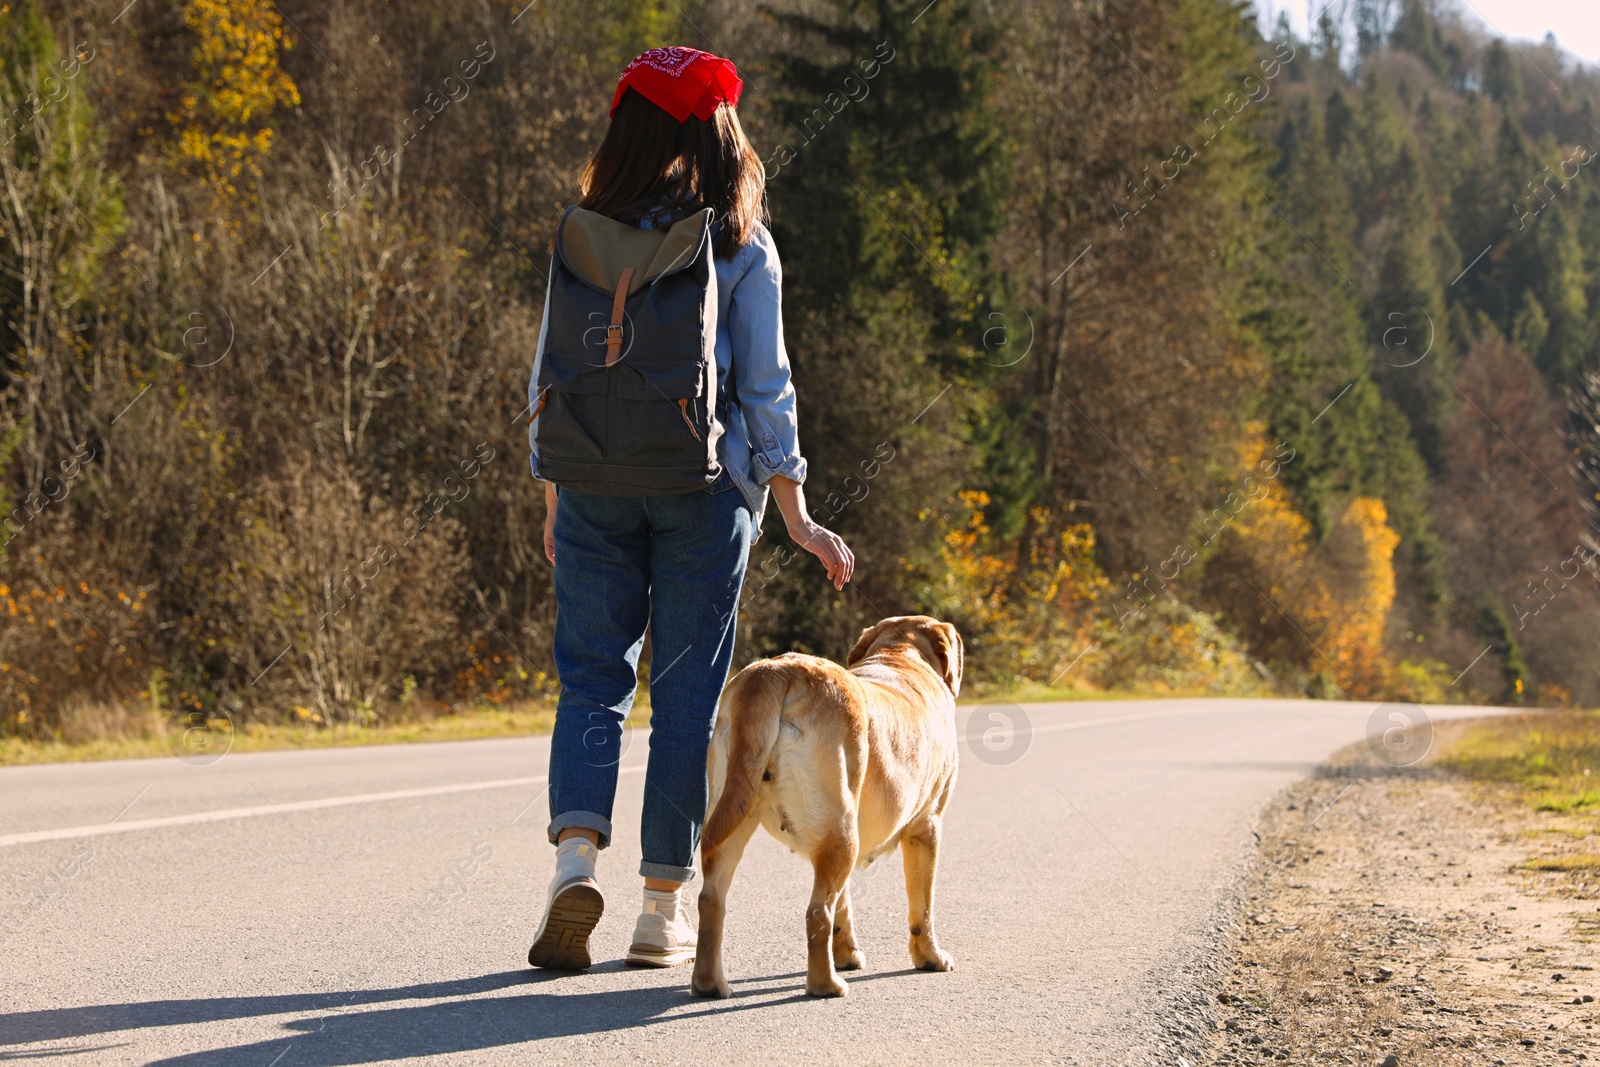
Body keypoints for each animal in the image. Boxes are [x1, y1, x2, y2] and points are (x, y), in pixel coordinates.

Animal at [691, 614, 960, 998]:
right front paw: (931, 957)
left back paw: (710, 983)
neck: (900, 654)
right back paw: (827, 984)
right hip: (841, 832)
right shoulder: (927, 825)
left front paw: (846, 953)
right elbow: (922, 908)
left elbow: (843, 907)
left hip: (740, 816)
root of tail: (776, 671)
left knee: (712, 899)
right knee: (816, 912)